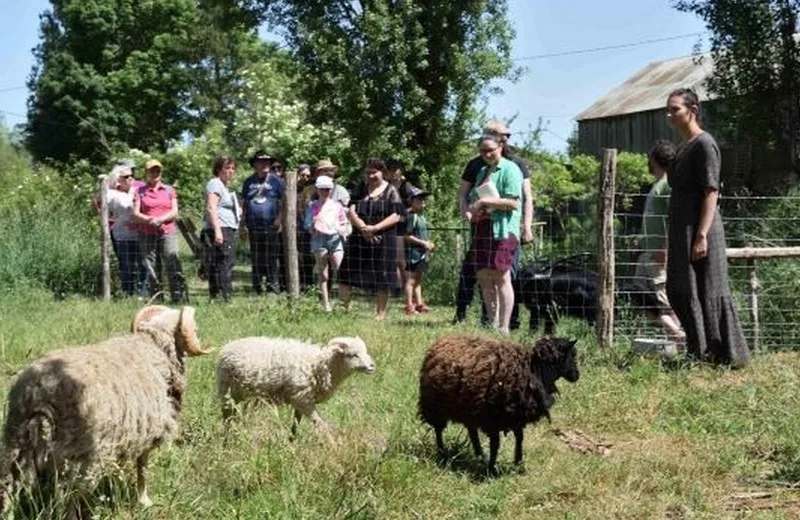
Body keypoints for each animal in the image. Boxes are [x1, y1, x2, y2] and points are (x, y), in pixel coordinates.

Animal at [0, 306, 209, 512]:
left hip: (15, 443)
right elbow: (142, 467)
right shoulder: (149, 433)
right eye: (196, 330)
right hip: (78, 455)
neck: (153, 345)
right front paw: (144, 500)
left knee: (9, 488)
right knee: (66, 498)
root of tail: (41, 390)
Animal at [214, 336, 374, 432]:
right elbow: (320, 425)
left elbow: (295, 426)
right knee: (226, 417)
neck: (321, 365)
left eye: (365, 351)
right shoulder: (303, 400)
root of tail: (228, 346)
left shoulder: (300, 398)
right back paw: (227, 440)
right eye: (353, 355)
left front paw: (292, 442)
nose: (372, 366)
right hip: (227, 390)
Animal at [416, 336, 580, 474]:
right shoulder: (493, 419)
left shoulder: (515, 416)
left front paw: (517, 462)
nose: (577, 376)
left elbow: (520, 438)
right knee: (438, 430)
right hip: (435, 406)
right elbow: (495, 444)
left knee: (472, 432)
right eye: (572, 356)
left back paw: (480, 455)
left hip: (470, 408)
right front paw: (492, 469)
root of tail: (439, 343)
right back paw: (442, 452)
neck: (534, 372)